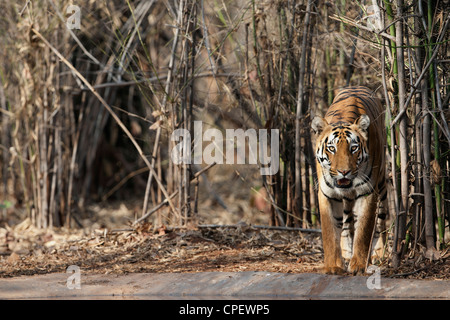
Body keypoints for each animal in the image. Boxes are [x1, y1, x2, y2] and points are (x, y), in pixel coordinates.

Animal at [312, 85, 388, 276]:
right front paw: (333, 266)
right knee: (345, 223)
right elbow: (330, 232)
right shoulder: (327, 194)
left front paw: (359, 265)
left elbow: (364, 231)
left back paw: (378, 253)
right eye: (331, 148)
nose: (344, 172)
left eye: (354, 148)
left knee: (381, 218)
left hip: (382, 183)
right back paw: (346, 254)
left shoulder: (368, 192)